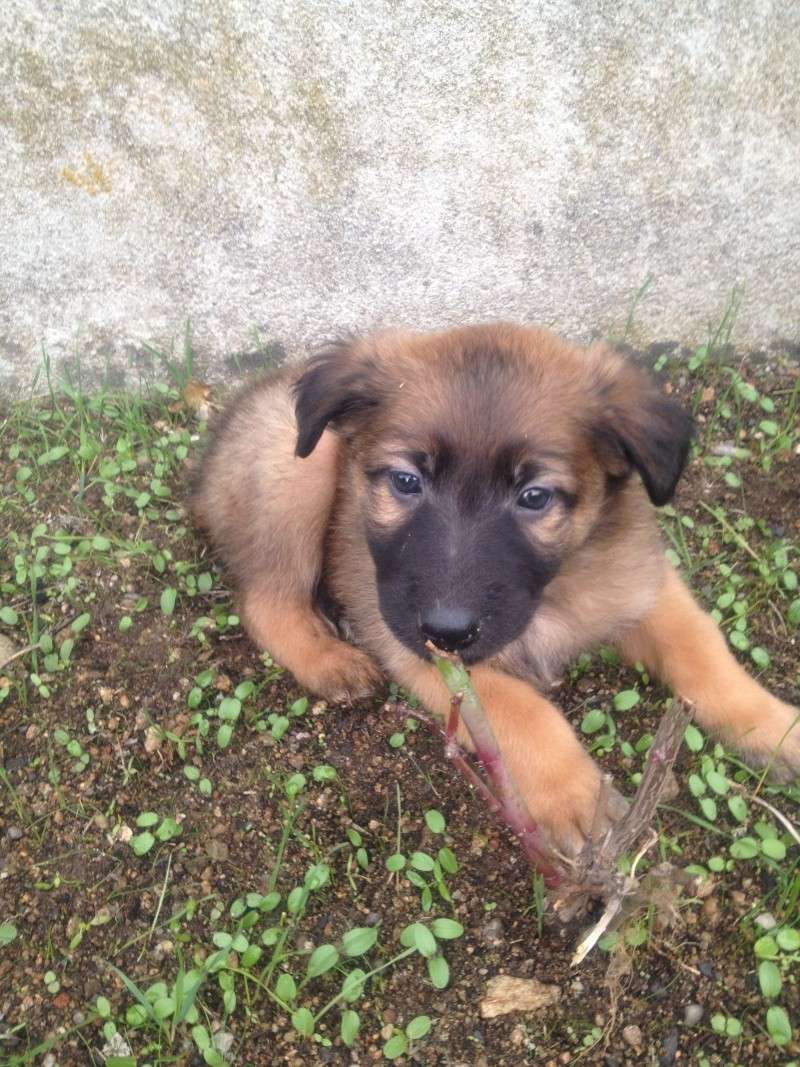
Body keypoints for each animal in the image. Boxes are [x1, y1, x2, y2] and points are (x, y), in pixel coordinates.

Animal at [189, 320, 800, 853]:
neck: (551, 594)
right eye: (406, 481)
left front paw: (777, 727)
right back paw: (329, 660)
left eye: (534, 496)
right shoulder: (422, 653)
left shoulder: (642, 584)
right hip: (297, 464)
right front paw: (576, 794)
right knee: (266, 601)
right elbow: (522, 710)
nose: (446, 629)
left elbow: (703, 651)